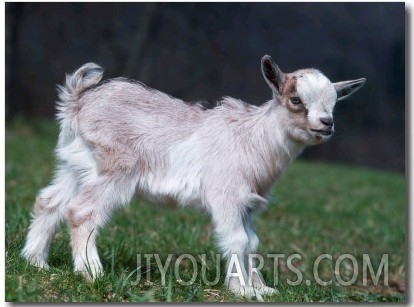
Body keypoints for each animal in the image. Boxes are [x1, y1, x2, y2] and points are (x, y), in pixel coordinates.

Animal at [22, 55, 366, 300]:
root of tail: (78, 101)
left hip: (75, 166)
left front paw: (262, 288)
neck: (253, 138)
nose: (326, 123)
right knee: (82, 212)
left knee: (49, 201)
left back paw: (36, 261)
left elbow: (252, 241)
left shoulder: (247, 205)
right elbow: (237, 239)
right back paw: (92, 272)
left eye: (334, 102)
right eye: (296, 99)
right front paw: (243, 291)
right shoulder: (227, 196)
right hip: (114, 169)